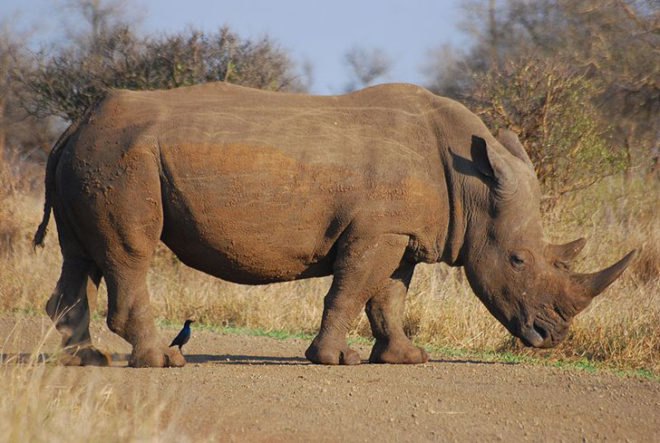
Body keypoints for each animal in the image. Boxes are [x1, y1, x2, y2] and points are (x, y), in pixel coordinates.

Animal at [34, 82, 635, 367]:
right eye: (517, 260)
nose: (552, 338)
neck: (473, 184)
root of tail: (74, 125)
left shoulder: (400, 233)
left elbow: (387, 298)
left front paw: (404, 358)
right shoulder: (378, 232)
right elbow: (351, 291)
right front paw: (330, 359)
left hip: (93, 157)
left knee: (78, 256)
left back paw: (86, 360)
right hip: (121, 160)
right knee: (129, 255)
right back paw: (163, 362)